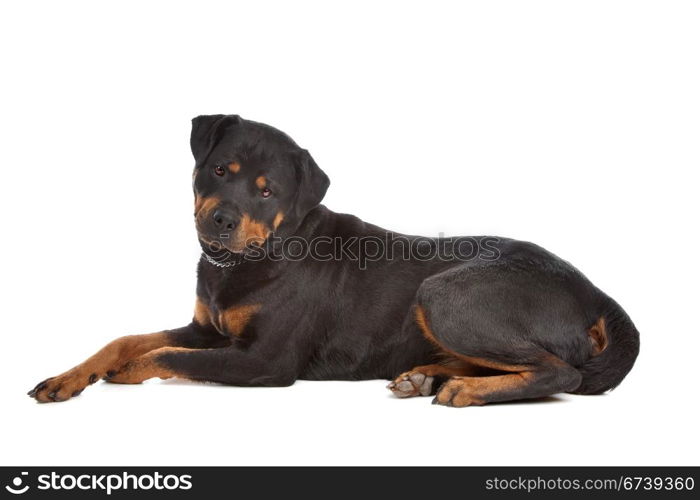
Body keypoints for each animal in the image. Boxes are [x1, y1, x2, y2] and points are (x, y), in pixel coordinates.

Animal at [27, 116, 640, 406]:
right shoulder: (207, 329)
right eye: (219, 170)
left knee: (558, 370)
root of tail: (597, 294)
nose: (221, 219)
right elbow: (127, 338)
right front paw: (68, 378)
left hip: (445, 291)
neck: (246, 261)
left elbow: (166, 355)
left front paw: (124, 372)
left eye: (267, 191)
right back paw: (426, 376)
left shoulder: (264, 361)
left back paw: (462, 389)